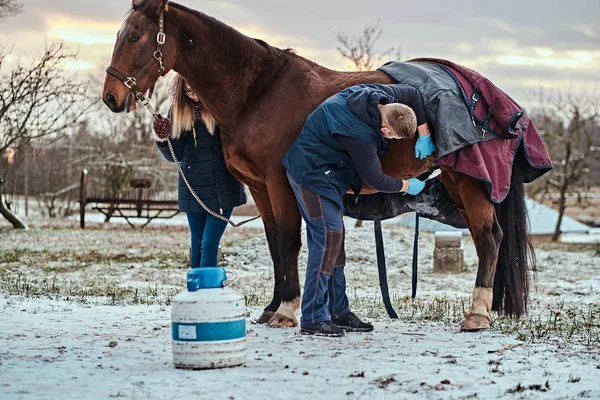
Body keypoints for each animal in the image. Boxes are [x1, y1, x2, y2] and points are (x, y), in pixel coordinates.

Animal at [103, 0, 536, 332]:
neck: (257, 92)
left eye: (135, 36)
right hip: (457, 184)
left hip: (470, 183)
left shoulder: (281, 183)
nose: (111, 97)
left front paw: (286, 311)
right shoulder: (260, 188)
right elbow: (275, 246)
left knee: (489, 238)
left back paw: (477, 315)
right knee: (486, 238)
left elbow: (289, 242)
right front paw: (271, 308)